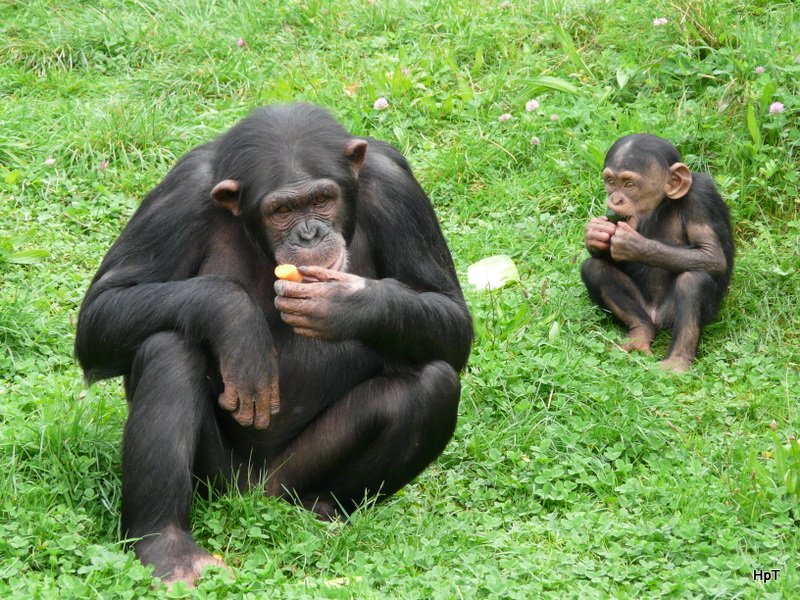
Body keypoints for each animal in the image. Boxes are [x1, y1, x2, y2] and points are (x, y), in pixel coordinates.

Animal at [73, 103, 476, 584]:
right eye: (282, 209)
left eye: (322, 199)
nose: (308, 235)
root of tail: (255, 493)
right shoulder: (180, 193)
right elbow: (103, 310)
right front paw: (238, 323)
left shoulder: (398, 187)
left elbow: (450, 316)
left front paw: (347, 304)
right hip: (217, 482)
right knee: (169, 348)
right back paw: (167, 547)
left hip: (291, 477)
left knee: (433, 384)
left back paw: (322, 508)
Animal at [580, 134, 732, 372]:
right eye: (611, 182)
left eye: (629, 184)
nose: (615, 199)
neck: (662, 206)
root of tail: (656, 317)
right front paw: (595, 233)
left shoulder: (701, 197)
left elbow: (712, 255)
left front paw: (633, 244)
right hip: (644, 309)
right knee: (595, 268)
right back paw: (641, 332)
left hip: (676, 314)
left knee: (693, 280)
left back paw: (677, 361)